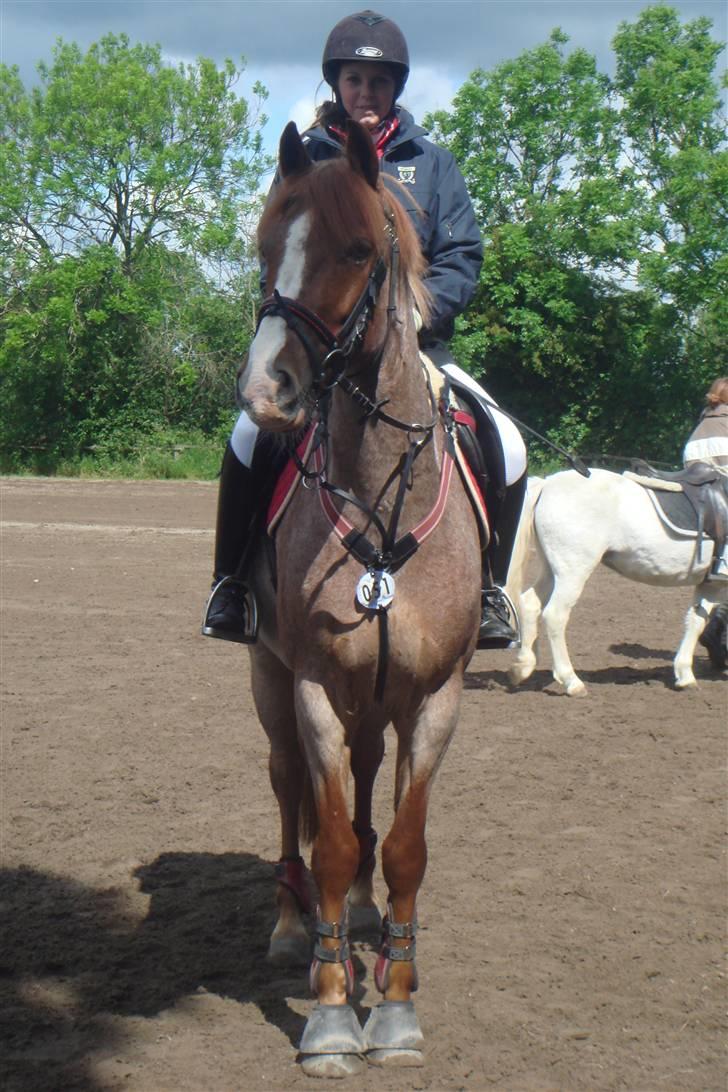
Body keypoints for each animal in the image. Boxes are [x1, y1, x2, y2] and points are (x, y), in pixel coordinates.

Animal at [234, 121, 484, 1074]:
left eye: (352, 250)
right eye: (267, 248)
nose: (265, 393)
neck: (380, 492)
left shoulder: (436, 696)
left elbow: (404, 846)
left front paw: (399, 1004)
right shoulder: (309, 685)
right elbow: (334, 843)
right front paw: (335, 1010)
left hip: (377, 702)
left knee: (368, 783)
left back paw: (370, 921)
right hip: (272, 684)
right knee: (288, 795)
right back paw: (289, 926)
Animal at [506, 465, 728, 694]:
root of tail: (547, 484)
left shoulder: (710, 584)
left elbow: (695, 622)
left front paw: (685, 675)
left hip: (552, 570)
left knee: (530, 604)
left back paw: (523, 666)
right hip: (573, 572)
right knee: (555, 616)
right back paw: (571, 681)